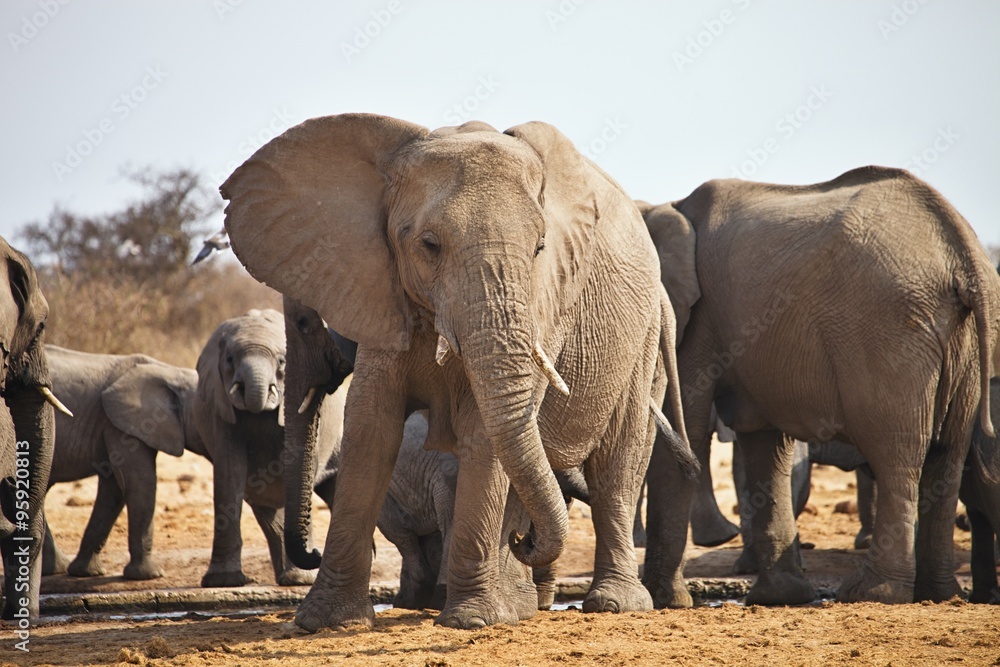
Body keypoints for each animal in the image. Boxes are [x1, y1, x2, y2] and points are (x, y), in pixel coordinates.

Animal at [41, 345, 198, 580]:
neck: (171, 372)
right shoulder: (119, 426)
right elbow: (138, 483)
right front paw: (151, 575)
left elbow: (113, 488)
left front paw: (87, 573)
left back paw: (55, 569)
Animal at [221, 113, 694, 630]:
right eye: (429, 245)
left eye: (540, 248)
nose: (308, 553)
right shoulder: (384, 297)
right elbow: (371, 425)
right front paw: (327, 622)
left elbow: (482, 429)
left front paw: (470, 621)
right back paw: (520, 602)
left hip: (643, 336)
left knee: (616, 462)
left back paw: (611, 603)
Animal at [640, 166, 1000, 606]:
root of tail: (964, 252)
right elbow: (764, 445)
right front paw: (780, 597)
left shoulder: (697, 320)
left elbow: (684, 430)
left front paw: (663, 600)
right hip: (963, 342)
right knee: (947, 454)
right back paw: (939, 595)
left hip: (888, 331)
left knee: (897, 453)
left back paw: (872, 593)